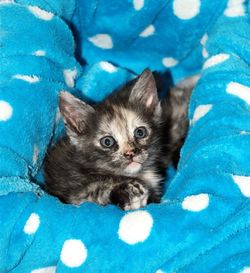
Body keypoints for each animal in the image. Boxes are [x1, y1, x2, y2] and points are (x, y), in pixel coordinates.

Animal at [43, 69, 195, 209]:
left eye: (140, 132)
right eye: (107, 142)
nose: (130, 153)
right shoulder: (72, 190)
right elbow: (90, 195)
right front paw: (128, 192)